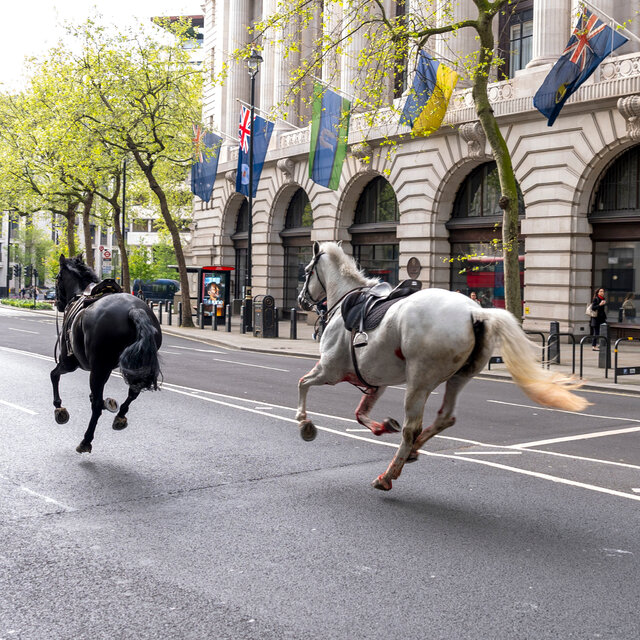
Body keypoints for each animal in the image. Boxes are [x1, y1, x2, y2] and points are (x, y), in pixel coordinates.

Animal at [51, 254, 162, 454]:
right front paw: (108, 403)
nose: (58, 303)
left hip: (96, 367)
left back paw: (86, 440)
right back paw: (120, 416)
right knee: (133, 392)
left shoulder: (69, 363)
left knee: (96, 407)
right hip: (133, 365)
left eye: (57, 278)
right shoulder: (107, 367)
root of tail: (134, 310)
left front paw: (59, 408)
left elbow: (54, 375)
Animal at [296, 241, 589, 492]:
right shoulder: (375, 380)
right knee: (444, 418)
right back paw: (412, 451)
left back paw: (388, 475)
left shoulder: (330, 370)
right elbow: (360, 413)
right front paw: (382, 426)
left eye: (307, 271)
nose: (300, 301)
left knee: (411, 428)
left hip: (419, 381)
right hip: (459, 376)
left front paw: (304, 422)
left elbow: (303, 383)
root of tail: (476, 312)